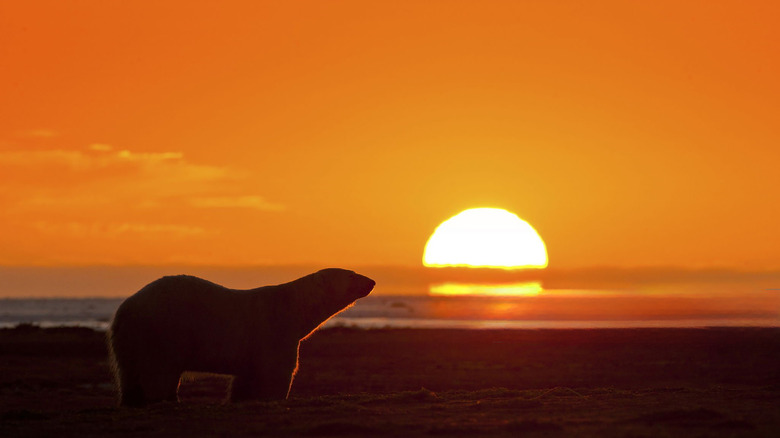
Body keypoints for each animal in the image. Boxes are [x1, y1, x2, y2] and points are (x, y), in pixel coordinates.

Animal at [107, 268, 374, 407]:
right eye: (352, 275)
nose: (372, 280)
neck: (295, 305)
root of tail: (125, 308)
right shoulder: (275, 329)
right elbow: (277, 372)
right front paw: (272, 396)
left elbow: (247, 377)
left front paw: (241, 396)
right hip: (161, 331)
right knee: (158, 372)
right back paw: (167, 399)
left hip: (133, 339)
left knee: (129, 373)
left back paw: (132, 400)